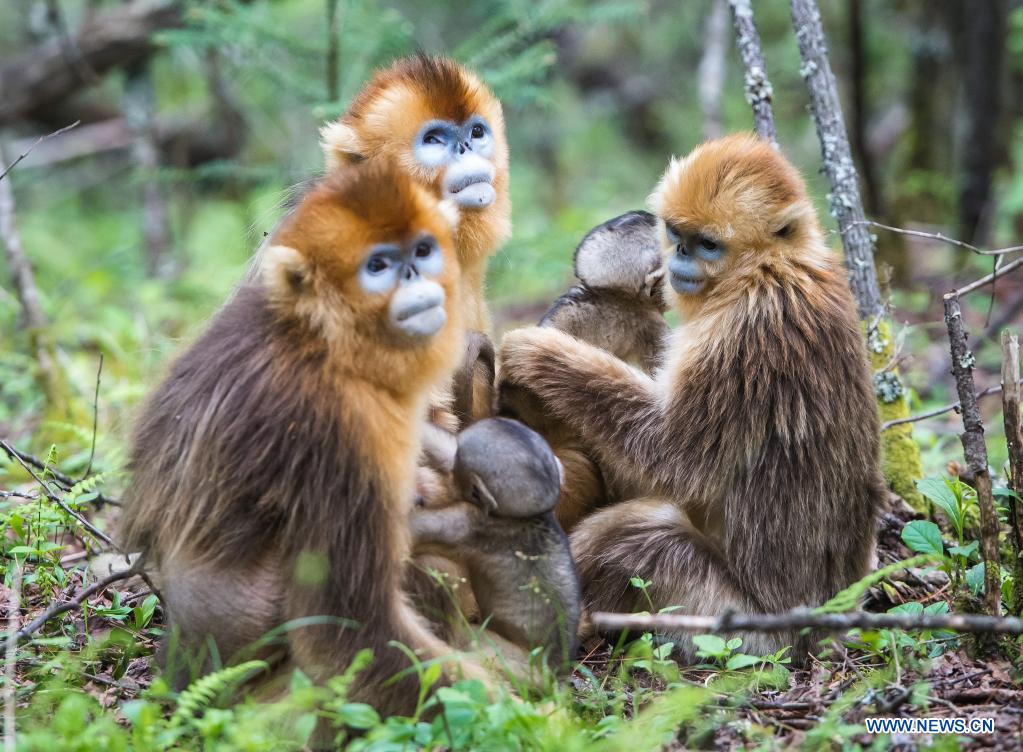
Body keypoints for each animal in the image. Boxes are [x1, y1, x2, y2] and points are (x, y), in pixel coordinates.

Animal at [119, 161, 486, 716]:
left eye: (422, 250)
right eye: (379, 265)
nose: (416, 276)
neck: (320, 340)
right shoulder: (339, 431)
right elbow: (349, 630)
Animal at [409, 417, 585, 671]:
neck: (527, 518)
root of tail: (557, 671)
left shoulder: (473, 525)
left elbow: (416, 528)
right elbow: (444, 448)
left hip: (518, 663)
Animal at [501, 134, 887, 658]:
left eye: (707, 244)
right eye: (677, 234)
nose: (679, 257)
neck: (770, 266)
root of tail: (823, 630)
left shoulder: (744, 329)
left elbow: (673, 455)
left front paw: (538, 353)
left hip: (739, 626)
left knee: (637, 533)